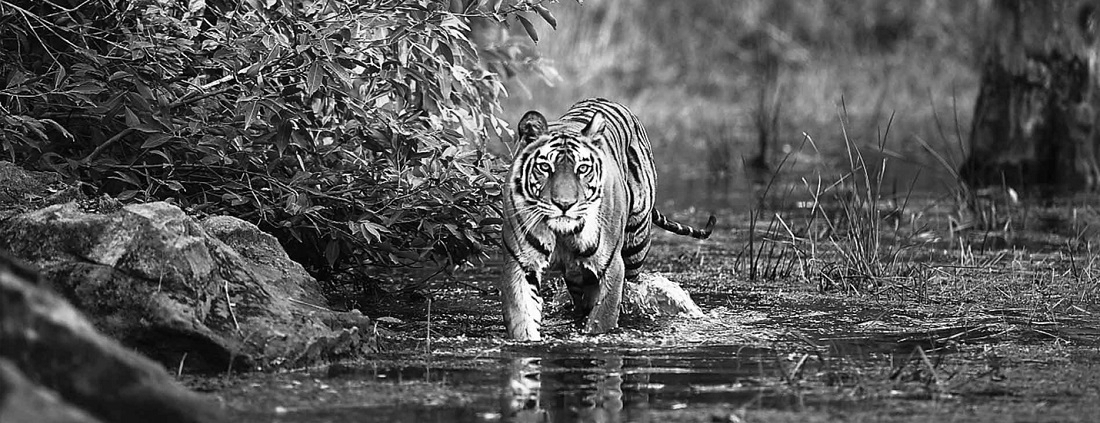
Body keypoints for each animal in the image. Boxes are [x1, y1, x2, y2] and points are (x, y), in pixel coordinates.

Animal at [500, 98, 716, 341]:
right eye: (545, 167)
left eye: (582, 169)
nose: (564, 204)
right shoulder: (520, 265)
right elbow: (522, 316)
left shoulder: (611, 267)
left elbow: (602, 318)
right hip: (576, 275)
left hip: (635, 247)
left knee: (633, 288)